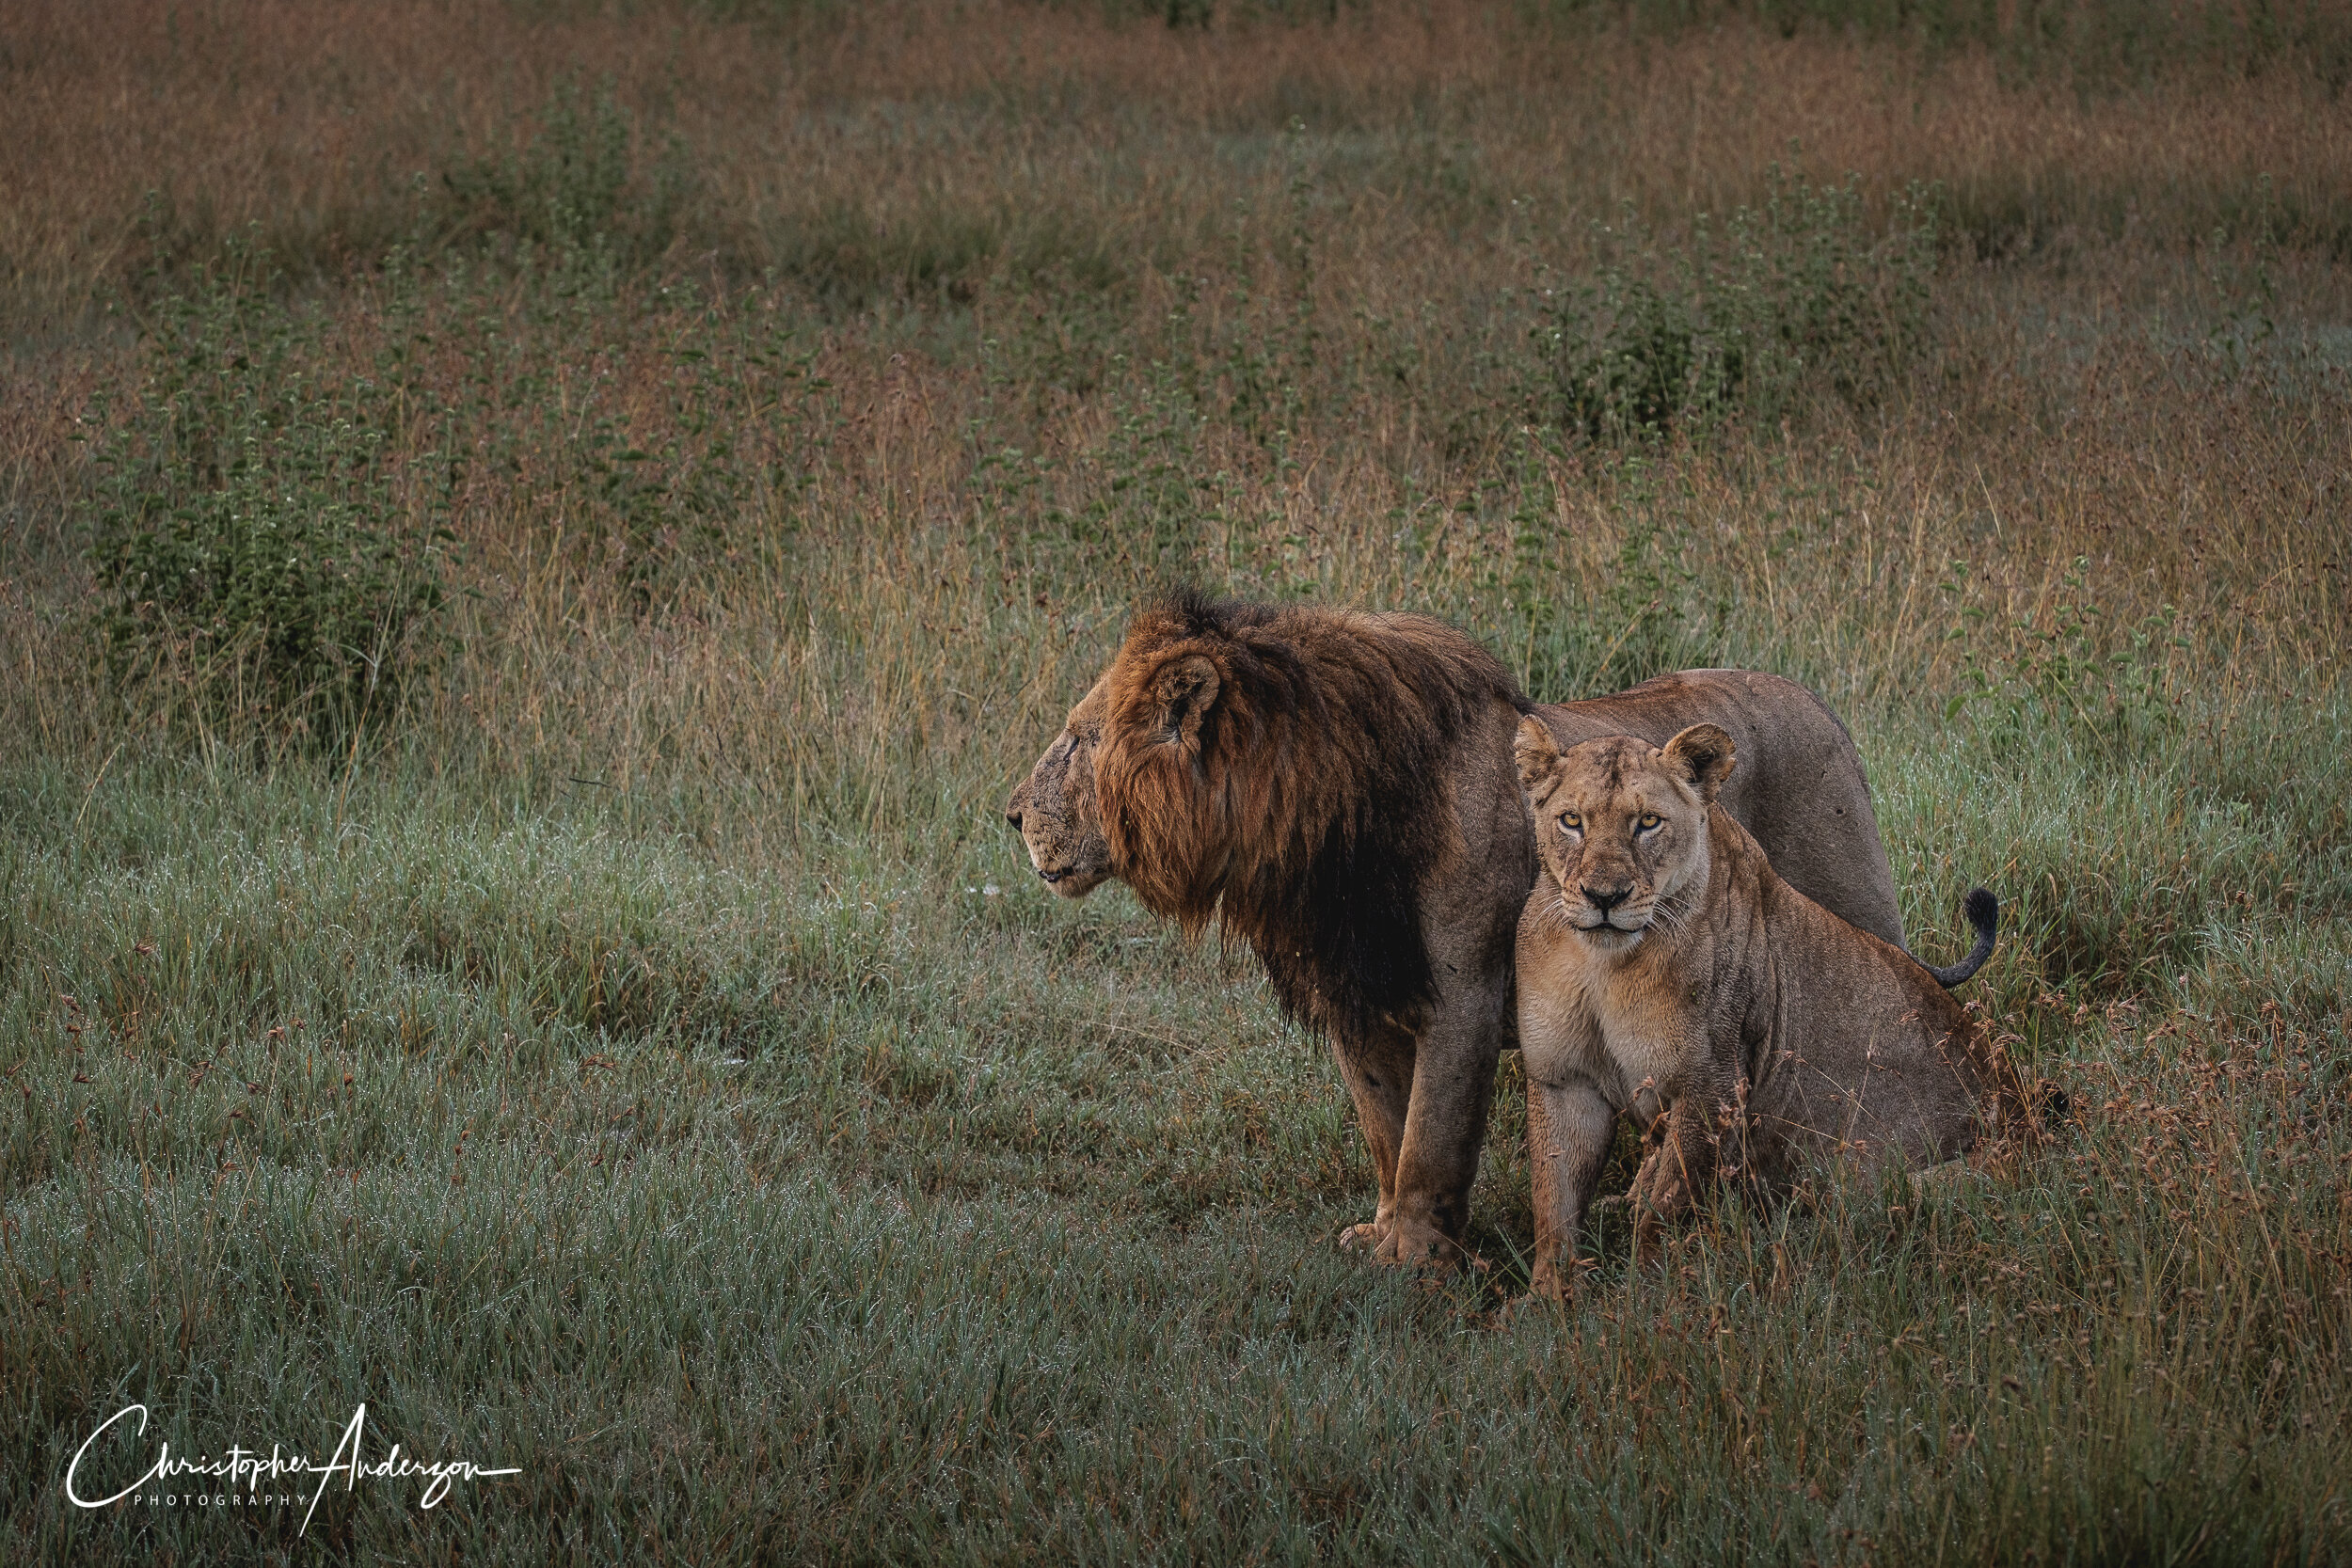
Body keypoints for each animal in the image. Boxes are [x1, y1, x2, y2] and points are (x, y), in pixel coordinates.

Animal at [1005, 592, 1955, 1266]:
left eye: (1079, 741)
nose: (1009, 814)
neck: (1311, 833)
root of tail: (1822, 707)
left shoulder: (1462, 993)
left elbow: (1429, 1137)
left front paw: (1414, 1260)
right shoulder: (1357, 1001)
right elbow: (1385, 1129)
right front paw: (1381, 1232)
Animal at [1511, 720, 2029, 1299]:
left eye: (1648, 822)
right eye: (1571, 821)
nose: (1604, 897)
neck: (1604, 967)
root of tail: (2022, 1120)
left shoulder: (1712, 1084)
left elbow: (1665, 1209)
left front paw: (1648, 1298)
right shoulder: (1563, 1079)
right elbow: (1553, 1204)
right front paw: (1547, 1298)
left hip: (1898, 1184)